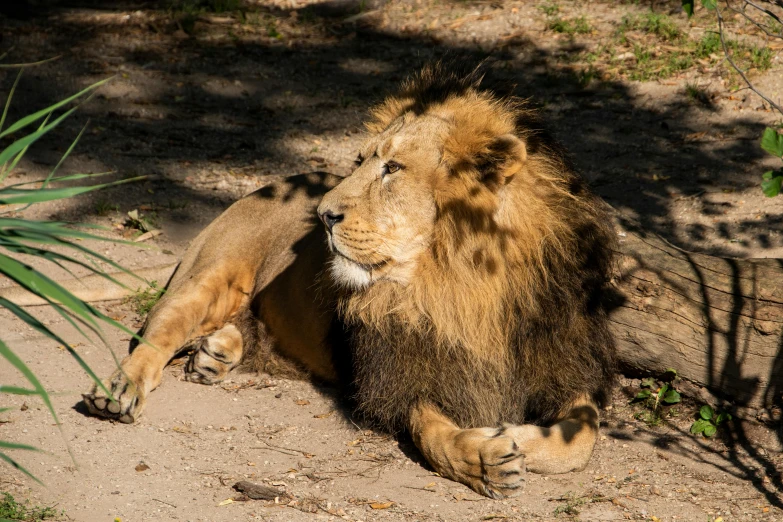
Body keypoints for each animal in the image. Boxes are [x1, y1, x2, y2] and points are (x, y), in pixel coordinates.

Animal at [81, 62, 620, 496]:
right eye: (360, 162)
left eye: (393, 168)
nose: (322, 215)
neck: (464, 284)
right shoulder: (405, 375)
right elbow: (435, 434)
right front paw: (486, 457)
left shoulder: (564, 360)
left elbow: (583, 434)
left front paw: (521, 436)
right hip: (208, 277)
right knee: (156, 335)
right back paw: (119, 390)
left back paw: (218, 352)